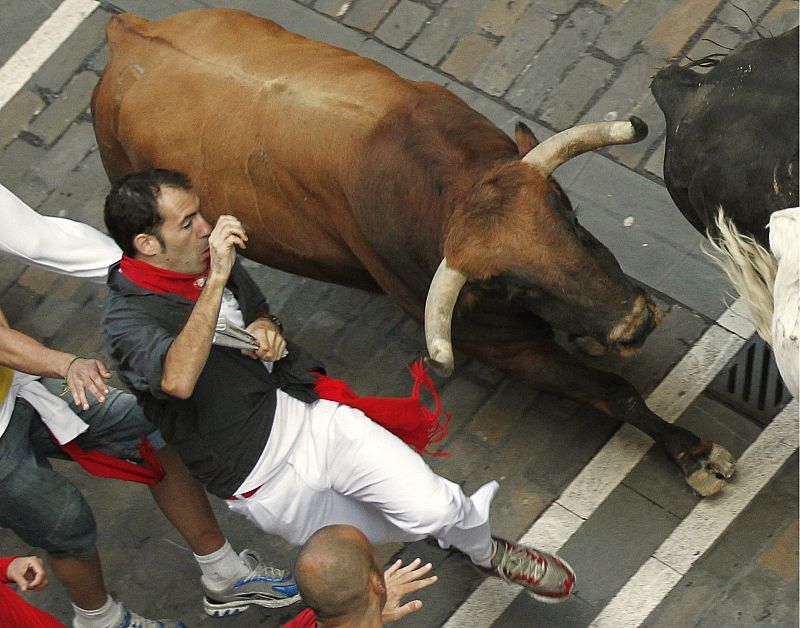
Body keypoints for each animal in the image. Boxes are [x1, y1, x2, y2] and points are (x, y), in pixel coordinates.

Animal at [90, 6, 736, 496]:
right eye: (514, 287)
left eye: (569, 215)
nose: (632, 322)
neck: (442, 181)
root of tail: (125, 31)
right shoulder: (507, 348)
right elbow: (612, 392)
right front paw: (694, 454)